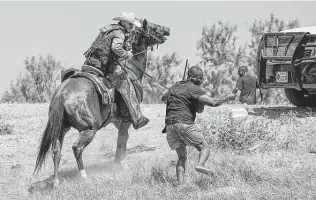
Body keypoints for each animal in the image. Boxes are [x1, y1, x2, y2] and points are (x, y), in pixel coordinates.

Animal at [33, 18, 170, 186]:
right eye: (153, 27)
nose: (167, 30)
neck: (132, 70)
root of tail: (62, 95)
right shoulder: (126, 121)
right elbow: (121, 141)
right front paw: (120, 165)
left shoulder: (117, 120)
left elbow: (122, 140)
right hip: (89, 128)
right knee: (77, 148)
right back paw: (84, 176)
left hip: (61, 128)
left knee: (56, 151)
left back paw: (56, 181)